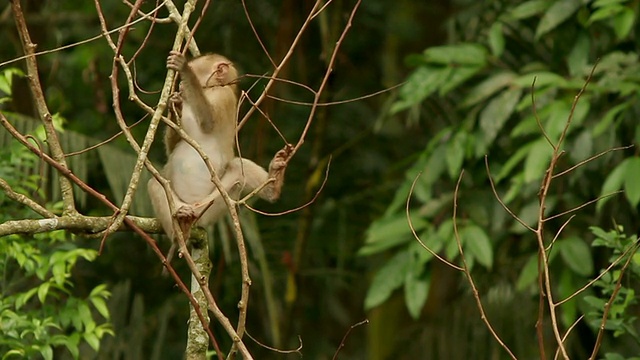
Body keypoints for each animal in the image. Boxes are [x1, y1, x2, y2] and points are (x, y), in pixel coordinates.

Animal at [148, 51, 290, 272]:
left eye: (186, 78)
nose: (180, 86)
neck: (213, 89)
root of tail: (193, 206)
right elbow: (172, 148)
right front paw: (175, 105)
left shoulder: (222, 96)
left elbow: (209, 121)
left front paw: (184, 68)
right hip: (186, 204)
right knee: (156, 184)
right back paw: (180, 226)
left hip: (212, 207)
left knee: (239, 168)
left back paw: (272, 186)